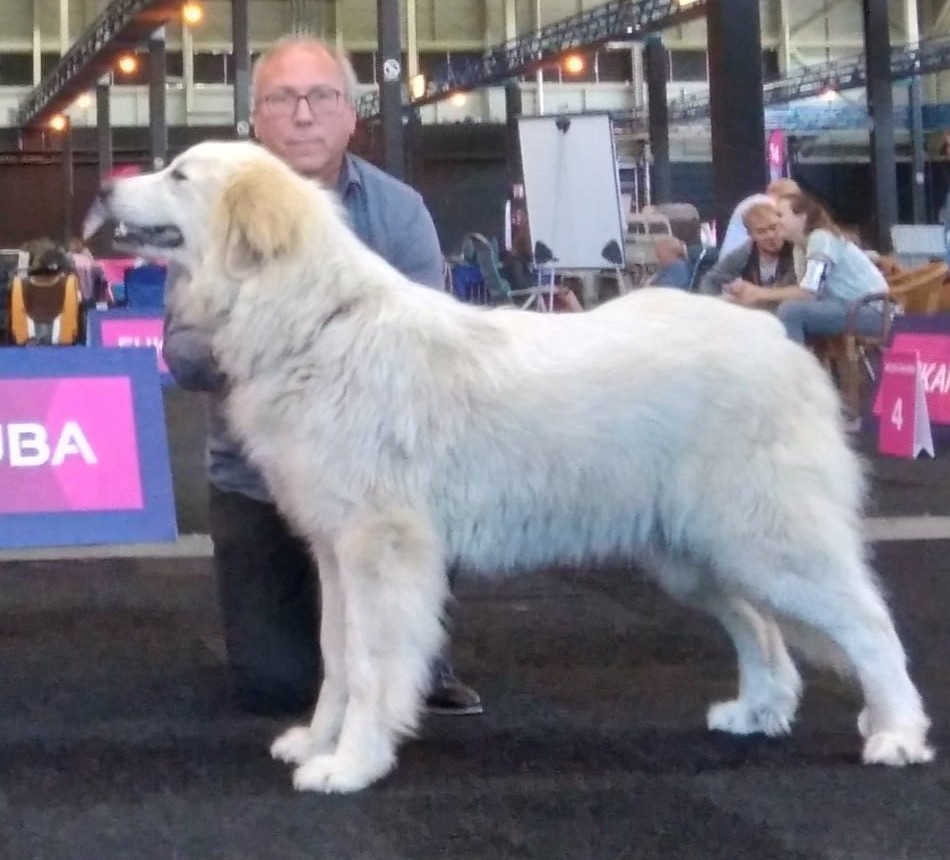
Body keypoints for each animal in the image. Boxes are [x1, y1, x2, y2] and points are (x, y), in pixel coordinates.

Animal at [101, 140, 933, 793]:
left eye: (179, 173)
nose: (106, 187)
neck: (318, 324)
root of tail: (784, 346)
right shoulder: (336, 552)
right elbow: (336, 659)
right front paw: (318, 741)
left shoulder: (381, 551)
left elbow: (369, 665)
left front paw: (352, 765)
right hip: (695, 555)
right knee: (760, 629)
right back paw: (758, 711)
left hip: (768, 540)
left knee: (869, 624)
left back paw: (897, 733)